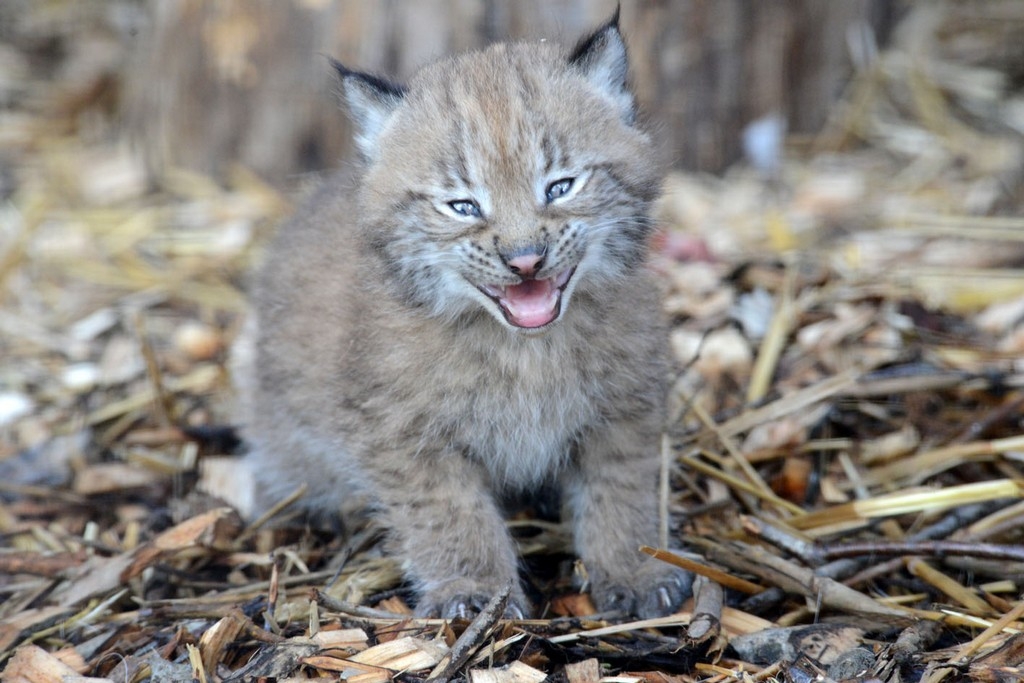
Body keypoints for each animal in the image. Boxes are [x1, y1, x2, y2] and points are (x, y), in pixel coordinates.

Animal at [237, 12, 688, 618]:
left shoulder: (625, 406)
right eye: (463, 206)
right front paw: (475, 591)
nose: (525, 260)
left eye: (561, 187)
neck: (526, 349)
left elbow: (622, 490)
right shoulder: (404, 433)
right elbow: (449, 513)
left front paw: (636, 566)